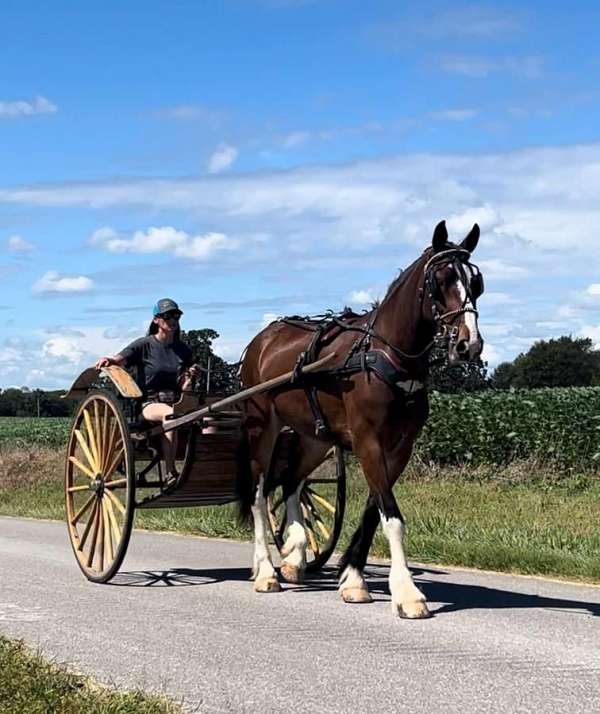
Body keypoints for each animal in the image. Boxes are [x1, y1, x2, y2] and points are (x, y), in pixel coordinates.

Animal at [238, 220, 482, 616]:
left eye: (476, 282)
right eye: (442, 279)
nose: (469, 344)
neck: (386, 355)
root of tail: (260, 341)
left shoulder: (399, 448)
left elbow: (374, 510)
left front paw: (352, 577)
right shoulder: (369, 440)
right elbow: (392, 517)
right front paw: (407, 593)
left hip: (314, 438)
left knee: (292, 482)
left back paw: (295, 553)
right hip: (263, 428)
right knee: (260, 495)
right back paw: (266, 571)